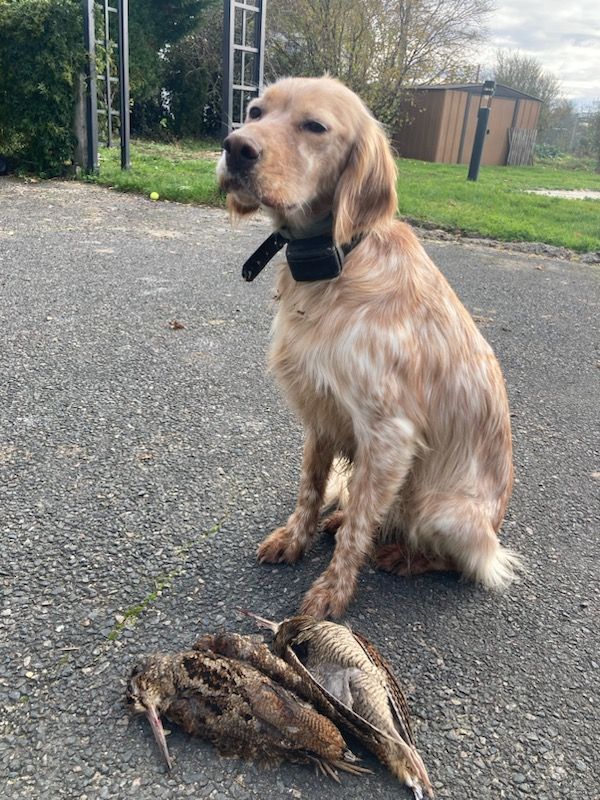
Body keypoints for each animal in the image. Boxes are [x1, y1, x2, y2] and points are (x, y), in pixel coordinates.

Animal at [217, 76, 520, 620]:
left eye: (315, 126)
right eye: (255, 111)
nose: (235, 147)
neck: (337, 259)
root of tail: (494, 529)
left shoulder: (389, 434)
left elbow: (359, 526)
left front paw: (331, 591)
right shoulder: (320, 414)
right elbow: (310, 489)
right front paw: (296, 538)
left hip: (442, 511)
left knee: (461, 560)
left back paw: (403, 556)